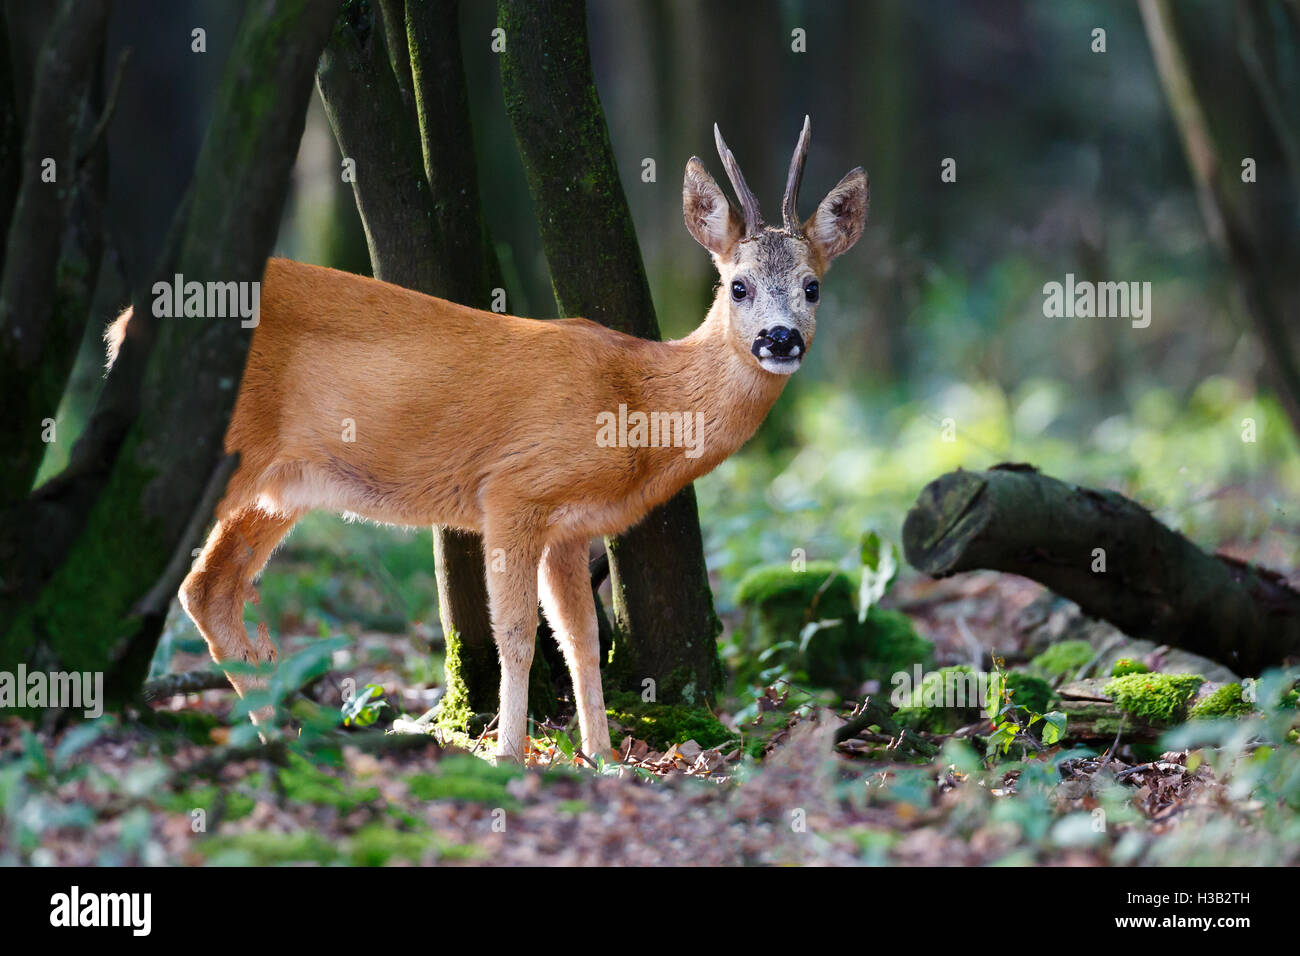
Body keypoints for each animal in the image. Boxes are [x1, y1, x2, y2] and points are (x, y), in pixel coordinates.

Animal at [105, 116, 868, 762]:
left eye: (812, 287)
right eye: (737, 286)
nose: (780, 340)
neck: (636, 401)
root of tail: (122, 324)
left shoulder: (569, 528)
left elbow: (582, 640)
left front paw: (604, 758)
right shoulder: (513, 491)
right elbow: (518, 635)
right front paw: (509, 754)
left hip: (280, 486)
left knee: (210, 589)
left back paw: (277, 738)